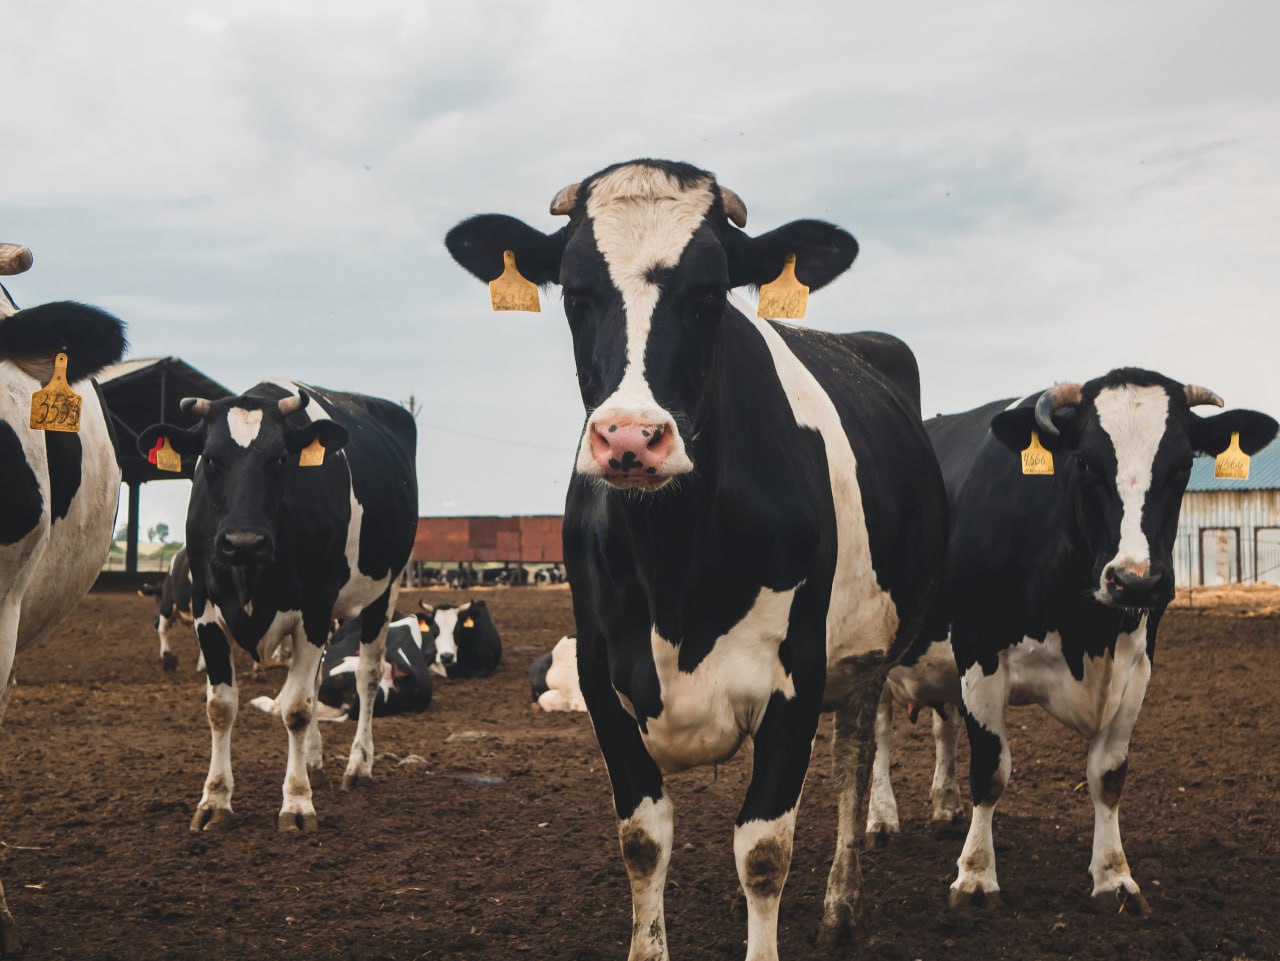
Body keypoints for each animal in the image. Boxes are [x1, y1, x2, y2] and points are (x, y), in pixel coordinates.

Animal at [140, 378, 419, 829]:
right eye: (210, 459)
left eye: (279, 459)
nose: (243, 541)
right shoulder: (205, 609)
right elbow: (221, 707)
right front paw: (215, 800)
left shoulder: (314, 608)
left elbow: (296, 709)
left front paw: (297, 802)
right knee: (319, 681)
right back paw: (314, 758)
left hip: (386, 587)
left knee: (368, 676)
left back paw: (358, 765)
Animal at [931, 371, 1280, 916]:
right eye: (1084, 462)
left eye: (1183, 465)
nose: (1134, 581)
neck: (1085, 629)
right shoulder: (977, 651)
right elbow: (989, 769)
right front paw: (975, 876)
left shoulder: (1136, 667)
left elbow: (1109, 775)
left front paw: (1114, 876)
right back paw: (879, 819)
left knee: (940, 724)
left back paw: (943, 808)